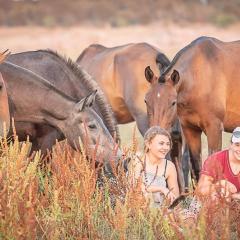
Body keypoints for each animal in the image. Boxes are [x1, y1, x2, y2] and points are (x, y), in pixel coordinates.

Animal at [144, 36, 240, 180]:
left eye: (173, 102)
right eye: (146, 101)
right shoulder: (190, 130)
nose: (155, 137)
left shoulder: (214, 128)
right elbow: (196, 169)